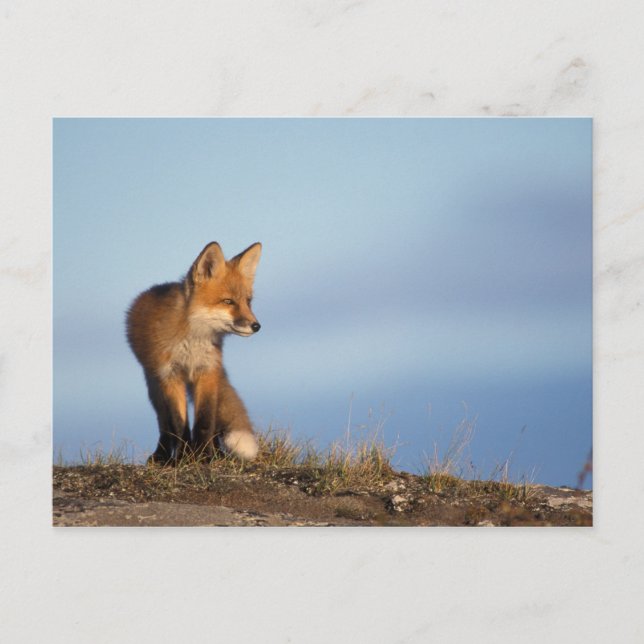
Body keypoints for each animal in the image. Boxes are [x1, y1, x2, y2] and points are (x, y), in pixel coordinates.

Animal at [126, 241, 262, 464]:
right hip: (154, 385)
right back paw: (163, 455)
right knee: (164, 424)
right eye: (228, 301)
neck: (192, 342)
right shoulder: (170, 376)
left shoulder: (207, 371)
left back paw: (216, 453)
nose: (256, 326)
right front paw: (184, 458)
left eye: (248, 302)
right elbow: (179, 424)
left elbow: (205, 421)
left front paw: (205, 456)